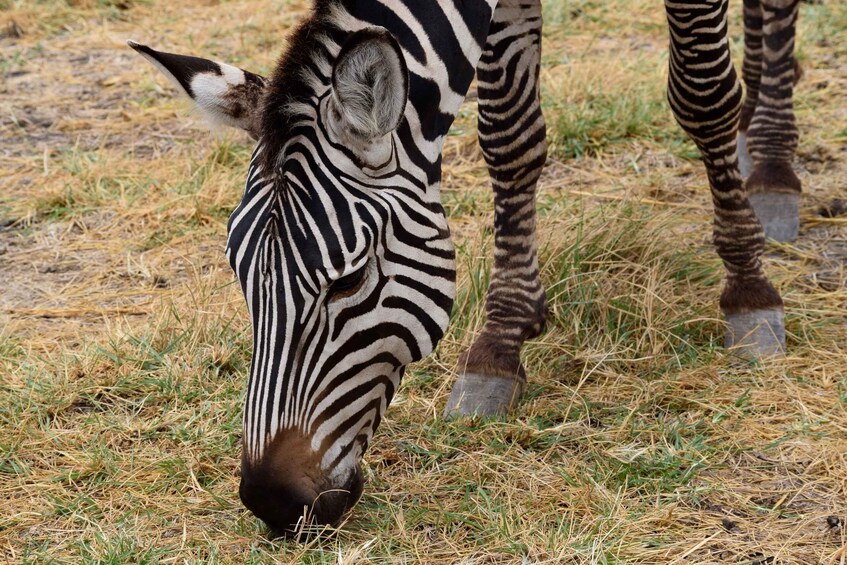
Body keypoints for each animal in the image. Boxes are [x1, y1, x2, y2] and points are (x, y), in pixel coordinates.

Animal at [128, 0, 801, 536]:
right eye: (240, 278)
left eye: (349, 279)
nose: (271, 503)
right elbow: (510, 134)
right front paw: (502, 340)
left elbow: (703, 94)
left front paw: (749, 288)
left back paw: (772, 168)